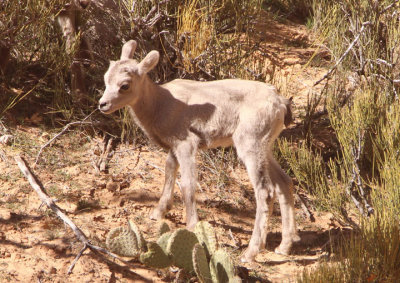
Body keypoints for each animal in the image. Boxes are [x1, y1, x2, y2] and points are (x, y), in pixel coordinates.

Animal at [99, 40, 300, 264]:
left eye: (124, 85)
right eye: (106, 78)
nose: (102, 104)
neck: (161, 104)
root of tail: (280, 103)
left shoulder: (186, 145)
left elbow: (187, 184)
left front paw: (193, 225)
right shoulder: (174, 148)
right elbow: (169, 172)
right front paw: (158, 213)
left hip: (250, 145)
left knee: (265, 192)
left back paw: (250, 253)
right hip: (266, 147)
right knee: (284, 183)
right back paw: (284, 247)